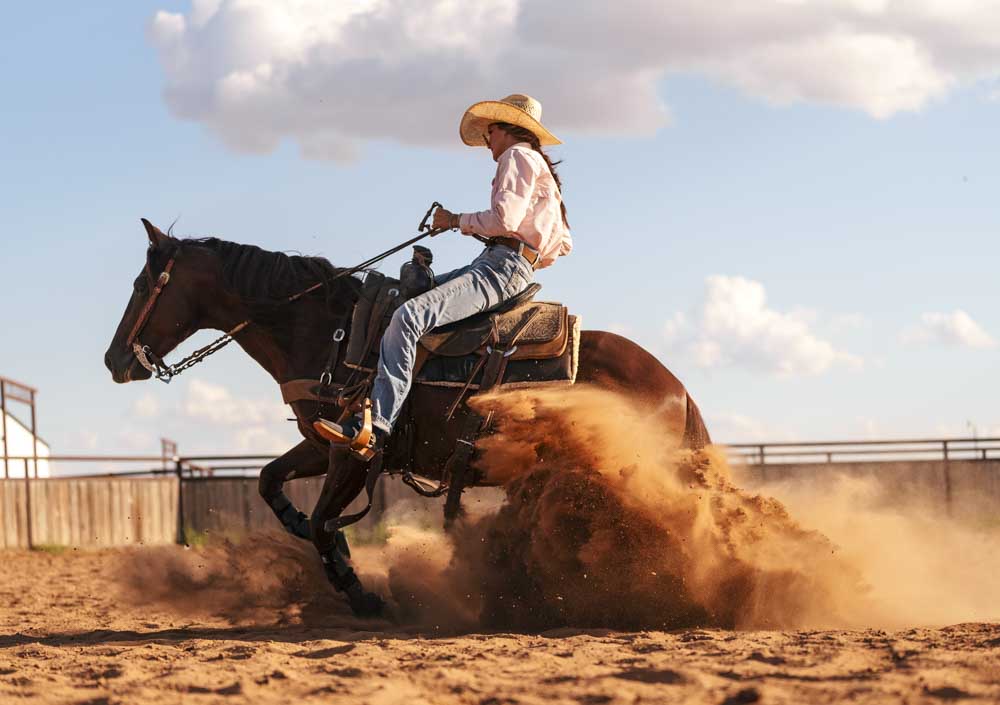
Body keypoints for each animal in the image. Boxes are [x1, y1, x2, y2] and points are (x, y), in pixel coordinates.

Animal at [105, 219, 708, 612]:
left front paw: (360, 592)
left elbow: (323, 522)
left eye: (141, 285)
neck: (331, 333)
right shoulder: (326, 442)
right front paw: (309, 533)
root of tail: (677, 389)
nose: (114, 361)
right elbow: (270, 481)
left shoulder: (354, 453)